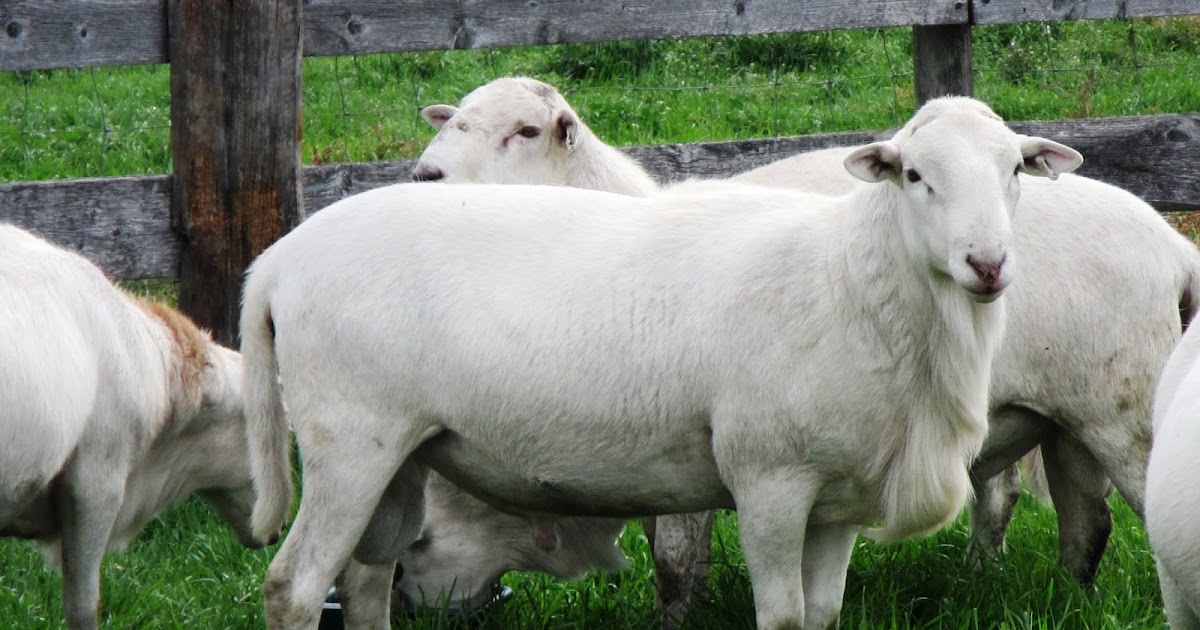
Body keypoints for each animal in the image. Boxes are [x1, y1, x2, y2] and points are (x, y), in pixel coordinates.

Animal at [244, 96, 1082, 629]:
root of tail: (278, 260)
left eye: (1013, 171)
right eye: (914, 175)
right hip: (352, 440)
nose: (987, 264)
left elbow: (821, 616)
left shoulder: (839, 497)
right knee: (293, 587)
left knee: (362, 582)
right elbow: (781, 617)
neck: (848, 281)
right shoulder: (768, 479)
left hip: (402, 457)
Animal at [403, 78, 1200, 620]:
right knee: (1081, 521)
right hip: (1067, 417)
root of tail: (1172, 245)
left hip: (1123, 413)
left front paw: (676, 617)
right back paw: (1049, 595)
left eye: (525, 130)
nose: (425, 177)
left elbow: (674, 559)